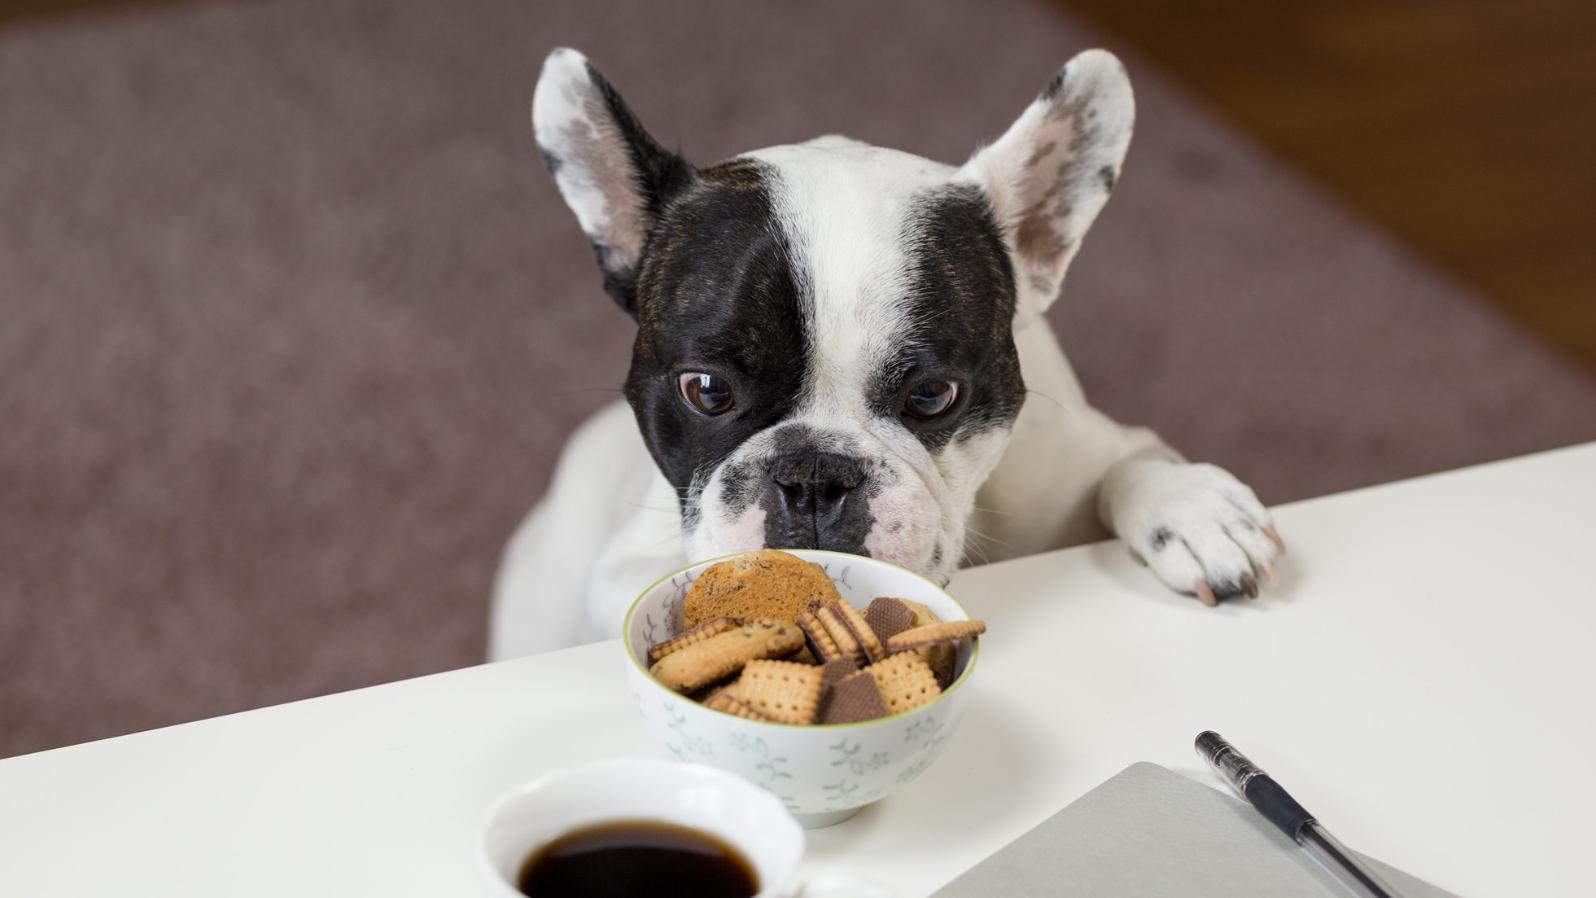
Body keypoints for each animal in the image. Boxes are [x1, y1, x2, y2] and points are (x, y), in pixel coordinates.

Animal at [485, 47, 1283, 660]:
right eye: (706, 390)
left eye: (932, 396)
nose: (813, 477)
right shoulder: (624, 565)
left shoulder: (1080, 455)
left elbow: (1134, 461)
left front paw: (1193, 509)